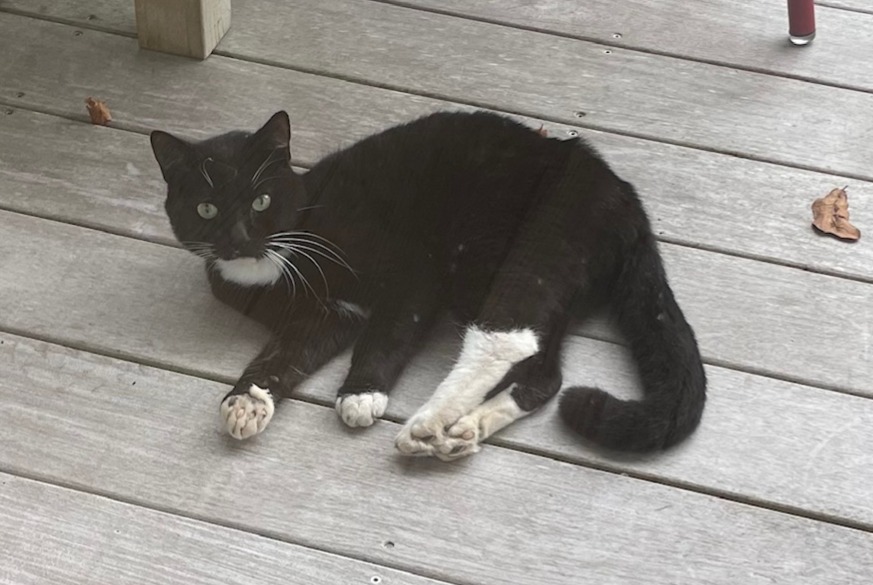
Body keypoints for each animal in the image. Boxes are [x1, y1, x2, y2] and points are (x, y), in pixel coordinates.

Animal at [150, 107, 704, 458]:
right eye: (206, 209)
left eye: (261, 201)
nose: (239, 238)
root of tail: (624, 195)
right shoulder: (324, 316)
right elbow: (282, 354)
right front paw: (248, 400)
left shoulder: (414, 275)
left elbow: (388, 333)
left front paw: (361, 393)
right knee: (545, 373)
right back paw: (466, 430)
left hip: (530, 247)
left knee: (507, 340)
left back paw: (428, 425)